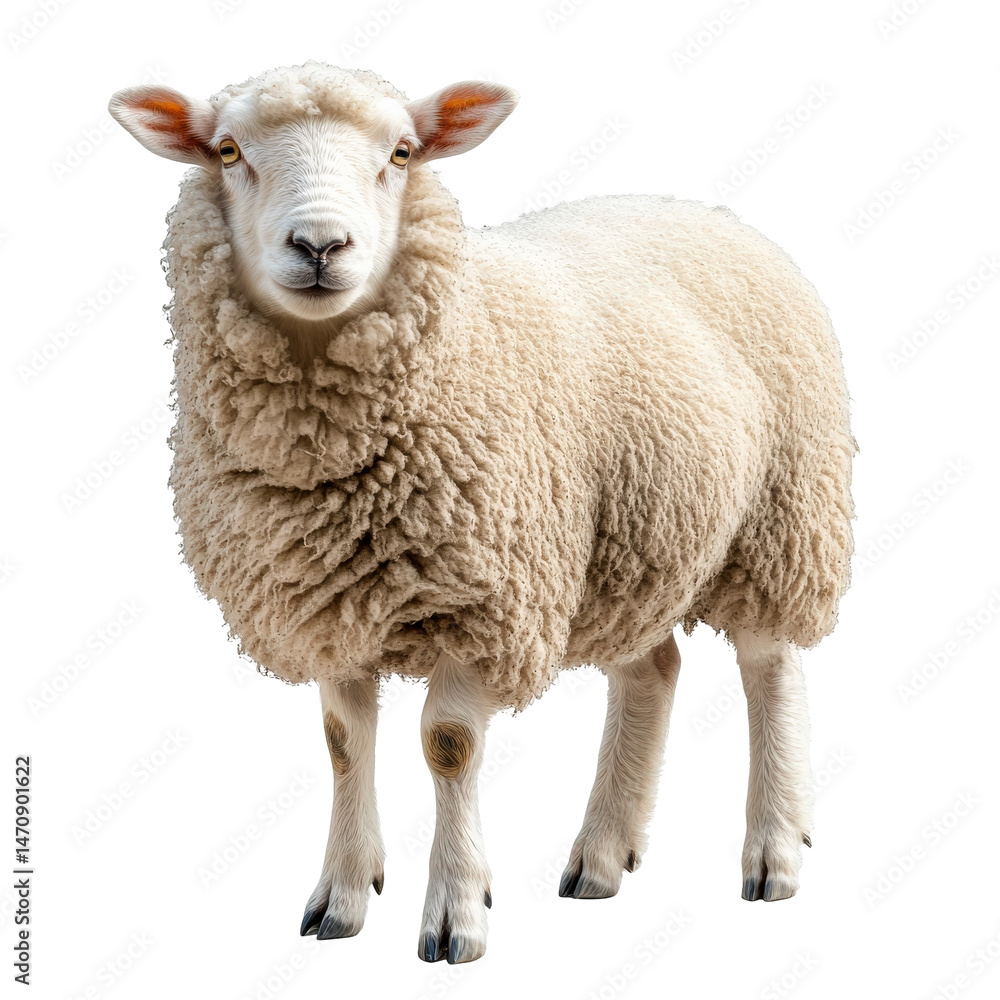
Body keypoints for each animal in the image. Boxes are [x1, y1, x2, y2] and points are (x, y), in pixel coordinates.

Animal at [108, 60, 855, 965]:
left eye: (401, 152)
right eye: (226, 151)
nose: (320, 247)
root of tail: (703, 210)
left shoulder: (484, 600)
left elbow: (448, 746)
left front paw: (456, 913)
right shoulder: (329, 604)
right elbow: (343, 744)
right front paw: (340, 899)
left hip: (783, 517)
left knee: (769, 666)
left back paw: (773, 851)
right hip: (634, 540)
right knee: (652, 669)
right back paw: (603, 854)